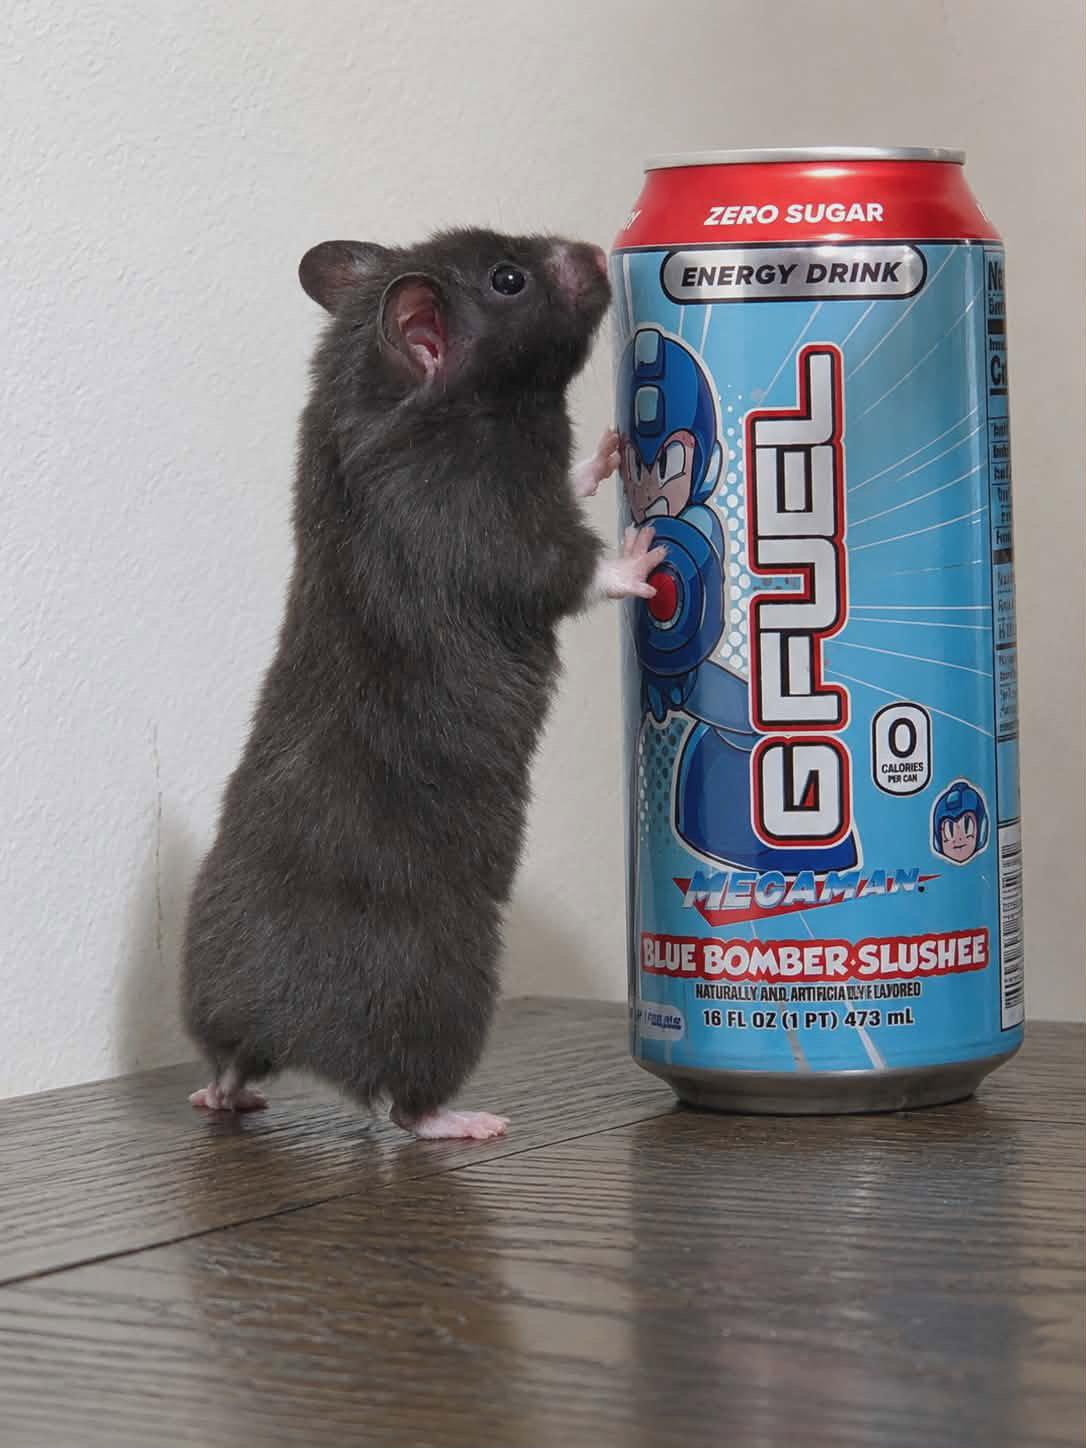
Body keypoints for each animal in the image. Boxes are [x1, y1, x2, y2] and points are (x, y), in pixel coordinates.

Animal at [180, 228, 665, 1139]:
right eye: (509, 280)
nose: (595, 248)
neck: (385, 395)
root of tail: (289, 1027)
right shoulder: (477, 517)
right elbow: (563, 566)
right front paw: (643, 555)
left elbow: (572, 485)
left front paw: (612, 450)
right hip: (452, 991)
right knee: (401, 1104)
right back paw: (467, 1122)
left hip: (220, 997)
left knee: (231, 1056)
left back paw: (224, 1090)